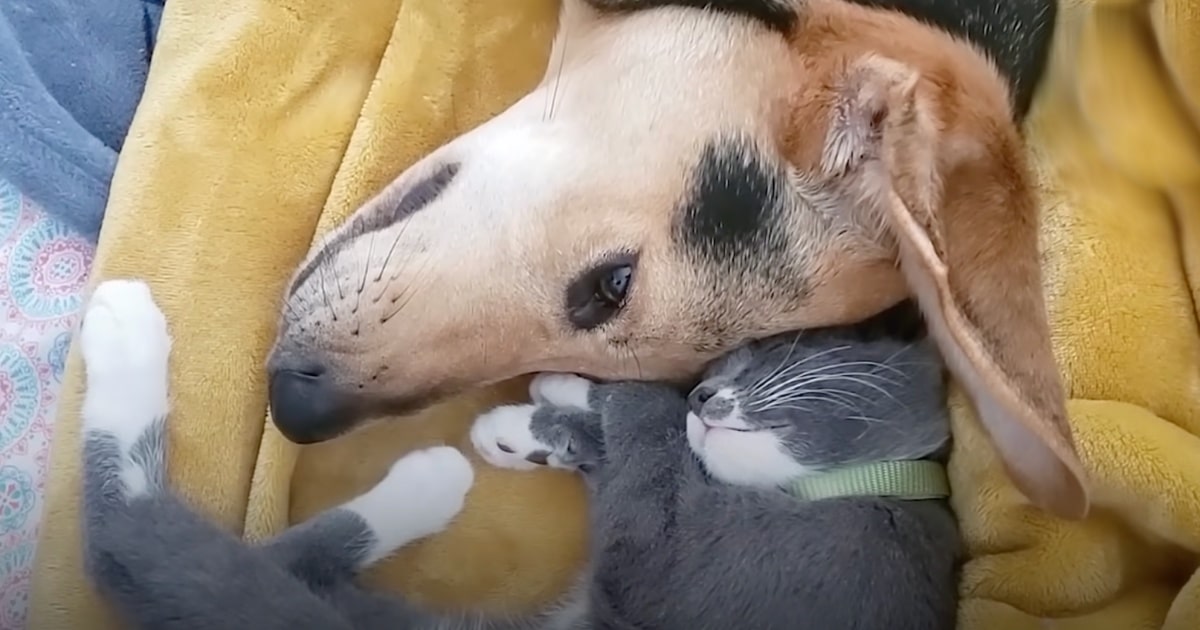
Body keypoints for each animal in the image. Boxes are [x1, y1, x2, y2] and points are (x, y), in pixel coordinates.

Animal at [77, 279, 955, 628]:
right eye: (726, 362)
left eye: (768, 356)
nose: (706, 395)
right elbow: (641, 462)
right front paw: (547, 413)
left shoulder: (698, 571)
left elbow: (650, 482)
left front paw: (576, 400)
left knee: (141, 543)